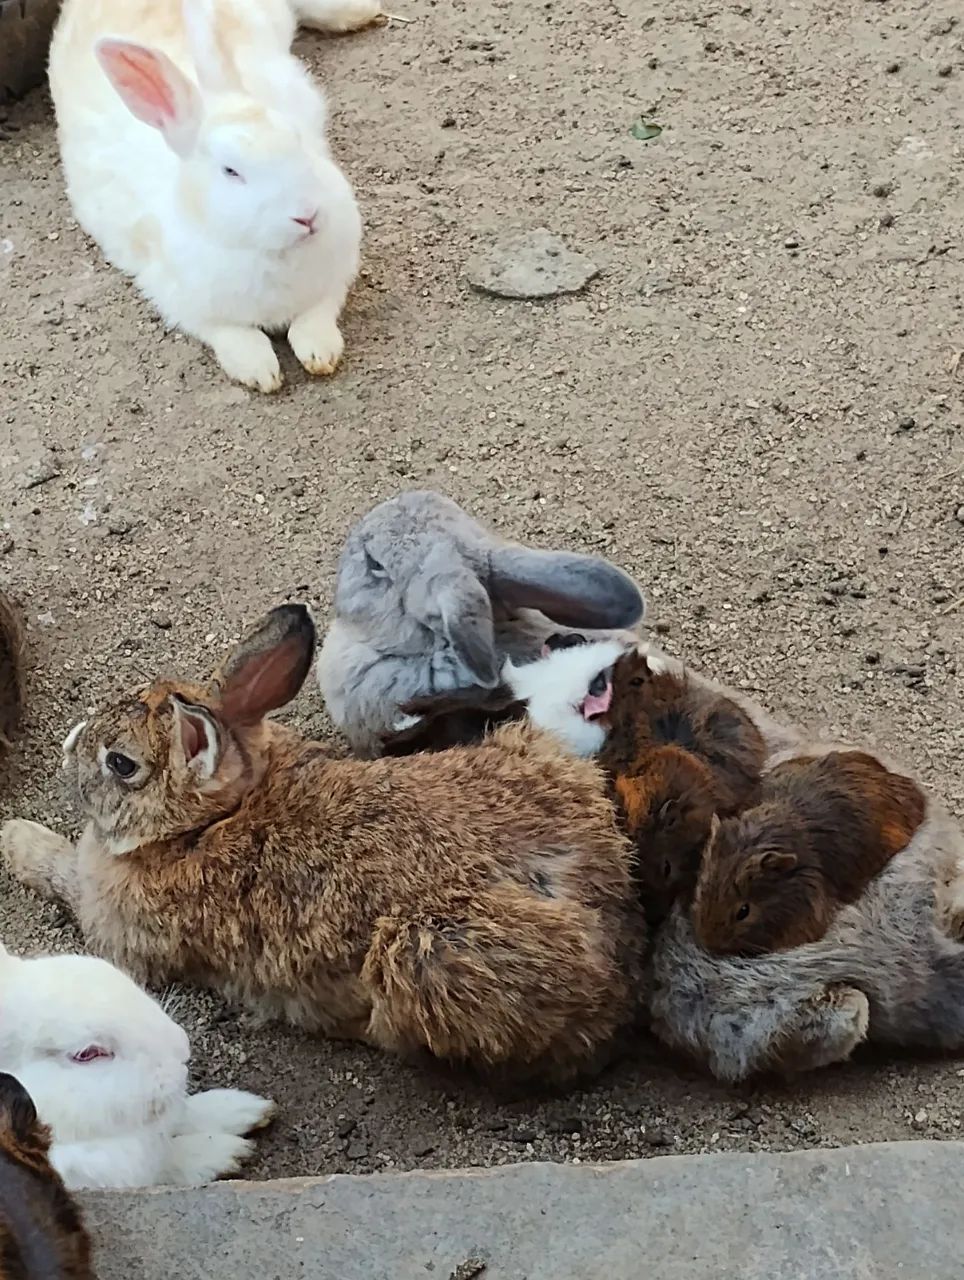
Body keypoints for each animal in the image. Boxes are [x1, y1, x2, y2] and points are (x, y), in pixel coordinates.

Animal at [1, 605, 646, 1087]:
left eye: (121, 763)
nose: (69, 747)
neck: (208, 821)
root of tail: (615, 929)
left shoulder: (118, 927)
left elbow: (62, 873)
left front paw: (14, 837)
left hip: (426, 954)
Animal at [48, 0, 382, 392]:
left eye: (296, 137)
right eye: (230, 171)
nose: (308, 215)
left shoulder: (338, 275)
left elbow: (315, 319)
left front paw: (320, 352)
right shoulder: (181, 302)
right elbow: (234, 336)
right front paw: (261, 372)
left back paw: (360, 13)